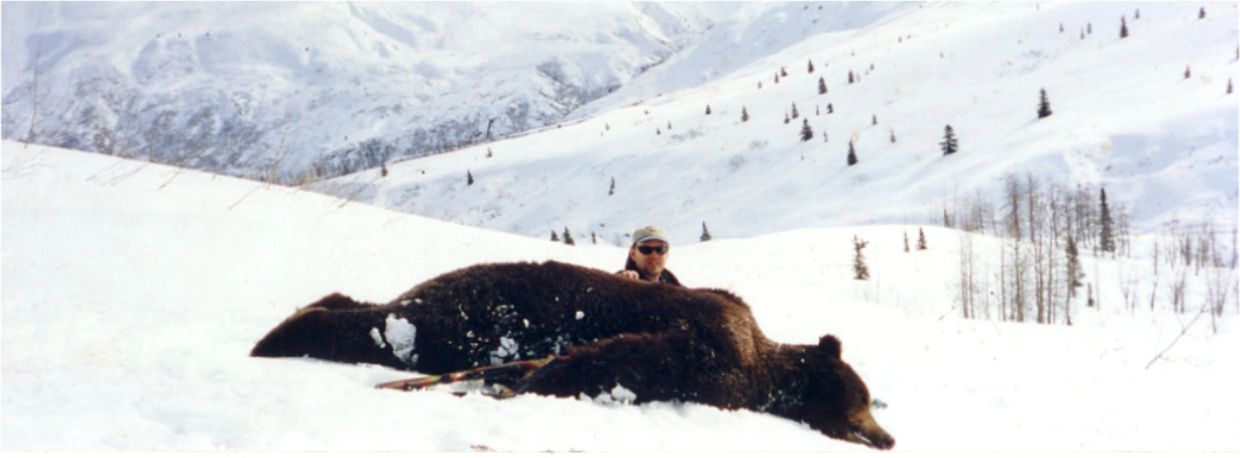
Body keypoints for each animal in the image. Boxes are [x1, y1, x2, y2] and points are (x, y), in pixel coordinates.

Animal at [251, 260, 894, 450]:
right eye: (860, 400)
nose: (886, 437)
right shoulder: (712, 345)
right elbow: (633, 357)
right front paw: (538, 377)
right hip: (463, 313)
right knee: (383, 329)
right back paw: (279, 336)